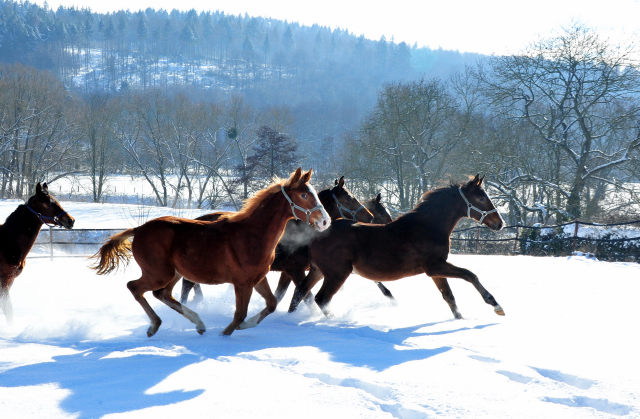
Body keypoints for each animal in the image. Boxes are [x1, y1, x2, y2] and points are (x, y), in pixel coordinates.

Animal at [0, 182, 74, 324]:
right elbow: (8, 310)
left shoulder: (10, 281)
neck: (7, 242)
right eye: (49, 204)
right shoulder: (3, 281)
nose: (71, 220)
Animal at [92, 168, 330, 338]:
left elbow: (271, 304)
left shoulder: (258, 278)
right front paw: (225, 334)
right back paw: (155, 326)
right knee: (135, 287)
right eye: (303, 195)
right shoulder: (242, 283)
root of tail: (138, 229)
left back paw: (198, 324)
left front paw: (245, 326)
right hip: (159, 273)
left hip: (175, 273)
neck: (251, 234)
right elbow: (239, 314)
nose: (325, 221)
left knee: (162, 294)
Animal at [179, 176, 376, 306]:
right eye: (349, 199)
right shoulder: (294, 270)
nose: (371, 217)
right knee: (187, 285)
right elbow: (306, 297)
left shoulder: (287, 272)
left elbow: (281, 295)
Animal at [288, 176, 504, 320]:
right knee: (321, 298)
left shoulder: (436, 270)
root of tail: (316, 234)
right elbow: (470, 275)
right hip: (337, 273)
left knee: (300, 292)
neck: (429, 226)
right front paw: (495, 305)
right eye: (481, 199)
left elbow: (449, 296)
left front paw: (460, 320)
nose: (499, 223)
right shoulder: (434, 266)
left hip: (318, 271)